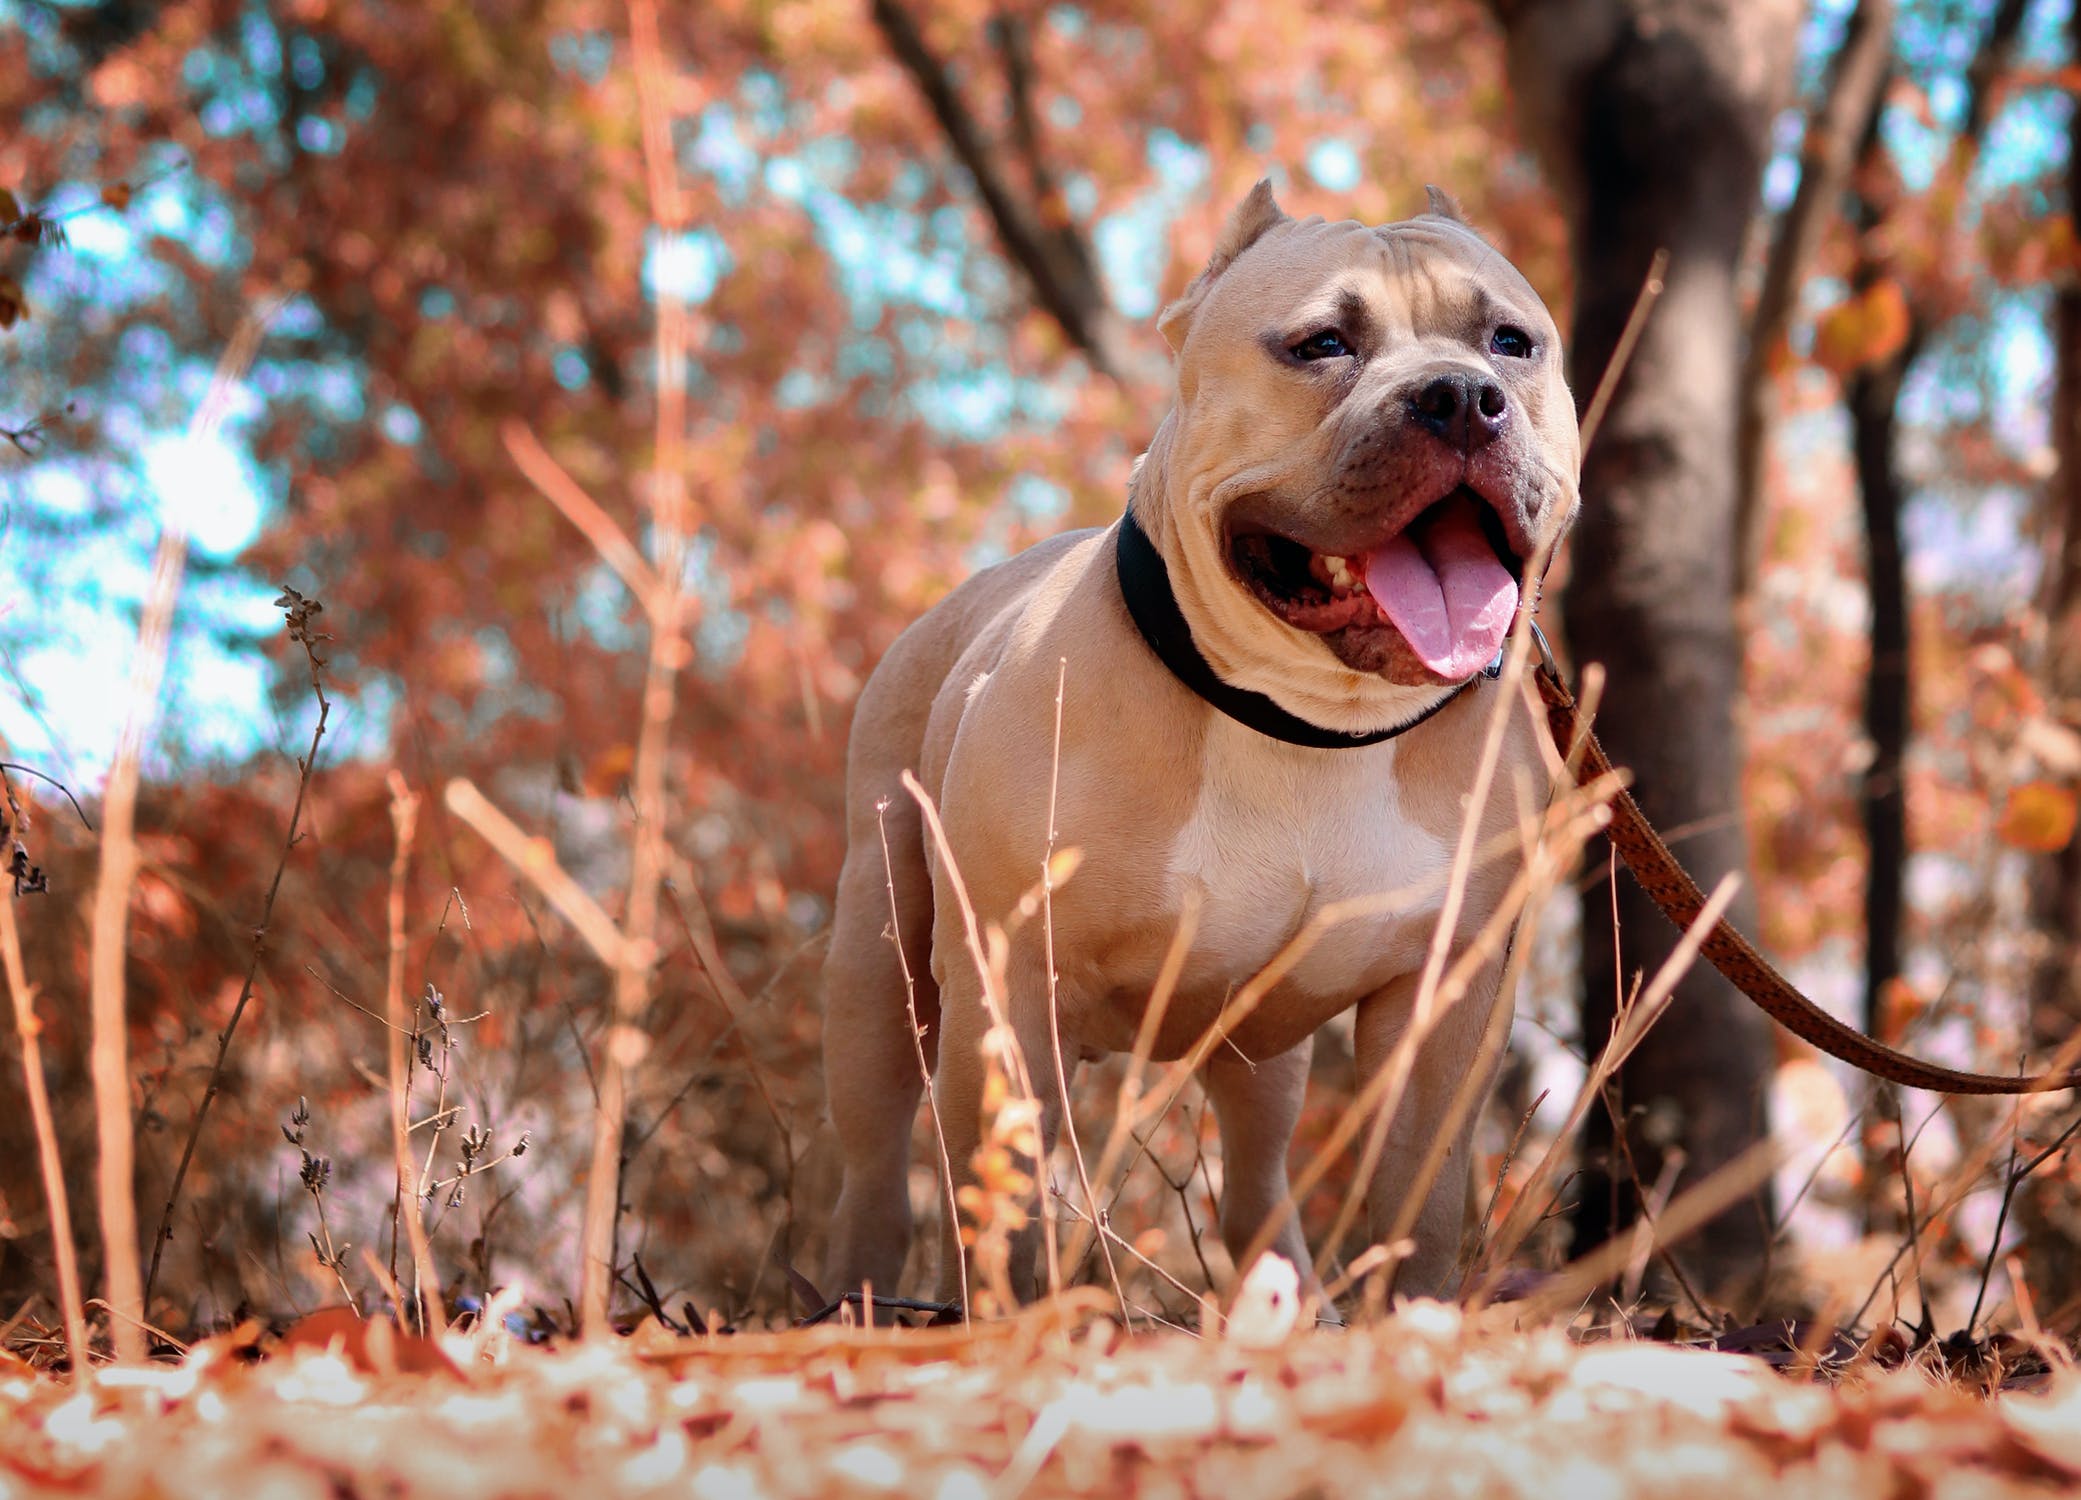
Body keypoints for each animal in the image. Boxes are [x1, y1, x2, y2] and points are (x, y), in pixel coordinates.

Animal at [811, 180, 1573, 1306]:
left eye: (1509, 343)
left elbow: (1418, 1201)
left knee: (1254, 1183)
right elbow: (1005, 1200)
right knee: (870, 1170)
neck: (1305, 721)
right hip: (878, 975)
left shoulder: (1446, 1006)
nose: (1460, 397)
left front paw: (1415, 1315)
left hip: (1262, 1064)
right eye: (1320, 345)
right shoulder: (1007, 985)